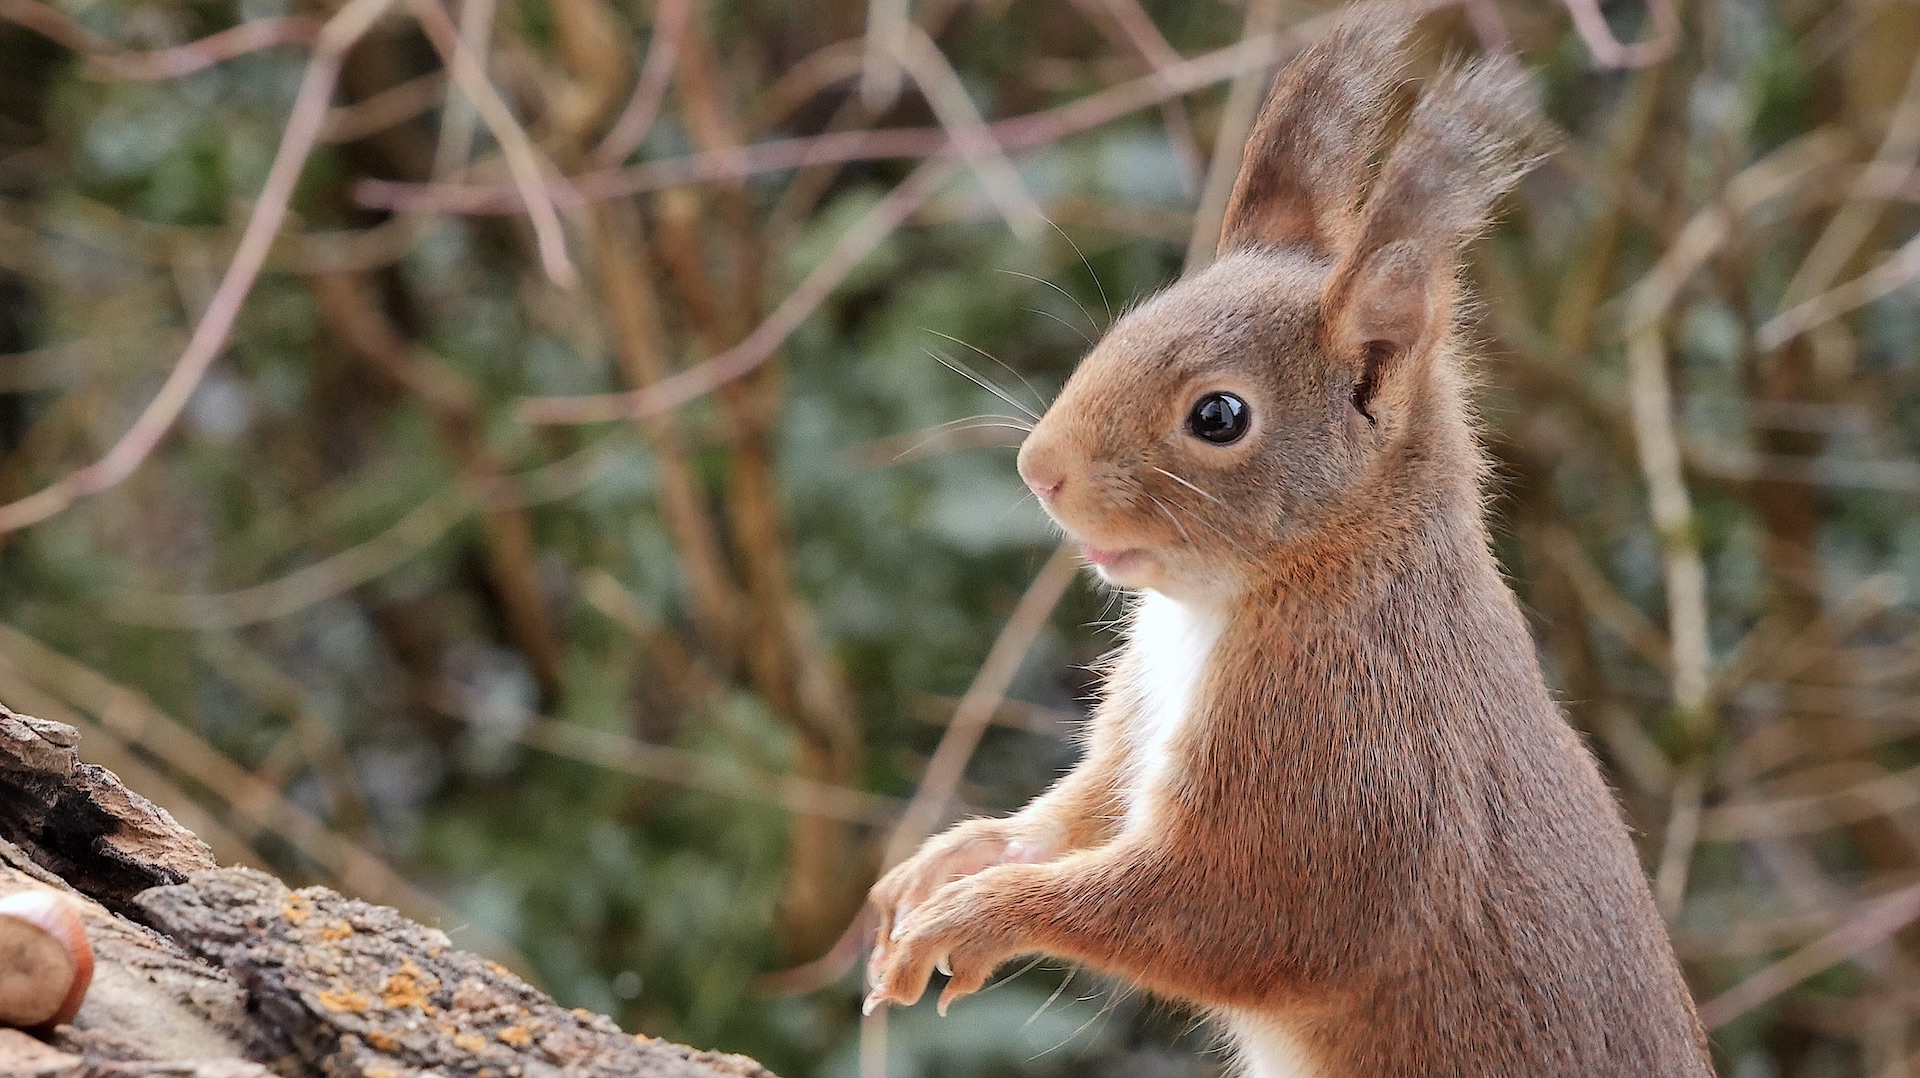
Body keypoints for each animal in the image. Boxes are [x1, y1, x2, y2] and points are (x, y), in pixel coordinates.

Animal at [862, 14, 1714, 1078]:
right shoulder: (1142, 724)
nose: (1037, 469)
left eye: (1219, 416)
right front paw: (958, 855)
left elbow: (1237, 912)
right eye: (1136, 319)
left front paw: (981, 913)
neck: (1227, 603)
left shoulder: (1343, 753)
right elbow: (1082, 813)